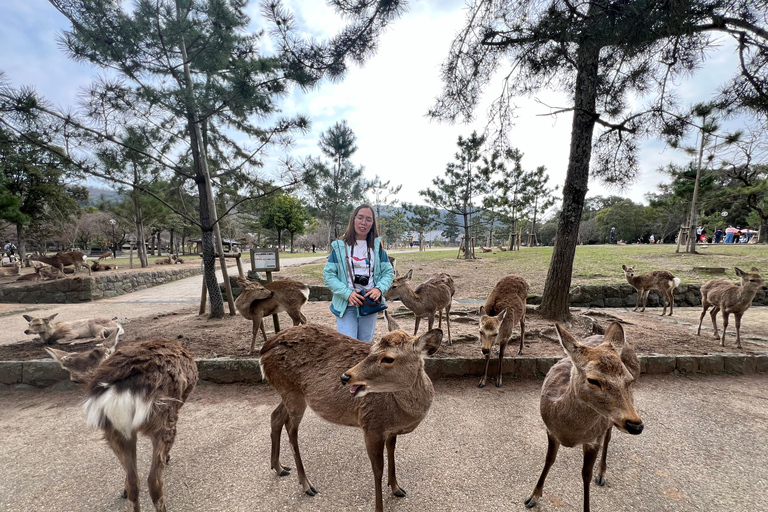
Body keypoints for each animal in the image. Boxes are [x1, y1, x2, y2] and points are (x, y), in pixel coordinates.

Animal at [47, 334, 198, 512]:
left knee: (134, 479)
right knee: (154, 480)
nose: (89, 385)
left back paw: (128, 493)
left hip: (113, 429)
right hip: (163, 417)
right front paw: (168, 457)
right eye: (74, 380)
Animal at [260, 312, 444, 512]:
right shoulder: (371, 425)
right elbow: (377, 469)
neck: (401, 415)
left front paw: (397, 487)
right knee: (291, 428)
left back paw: (279, 467)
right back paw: (307, 484)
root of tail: (263, 351)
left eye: (388, 358)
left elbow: (392, 452)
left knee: (275, 416)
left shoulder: (390, 430)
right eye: (372, 349)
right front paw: (380, 506)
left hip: (290, 392)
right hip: (291, 391)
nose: (345, 376)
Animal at [524, 324, 644, 512]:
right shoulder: (550, 430)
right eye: (593, 380)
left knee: (608, 437)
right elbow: (549, 460)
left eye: (629, 379)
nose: (636, 425)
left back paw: (601, 474)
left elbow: (586, 474)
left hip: (610, 421)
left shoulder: (593, 439)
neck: (570, 433)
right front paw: (532, 497)